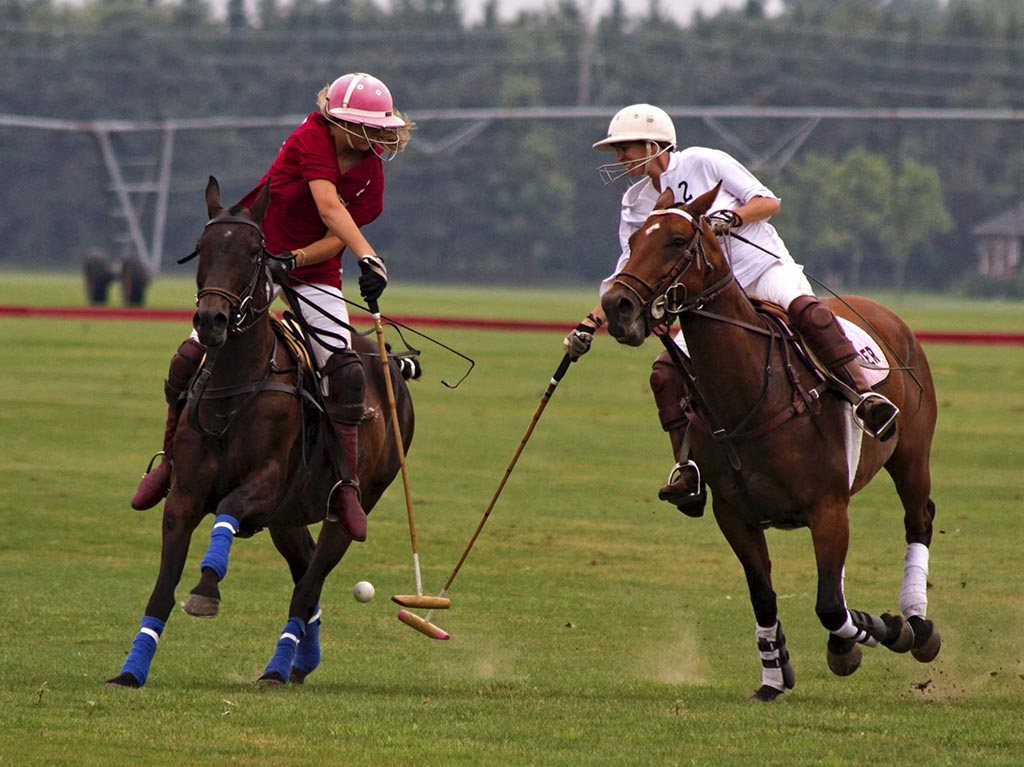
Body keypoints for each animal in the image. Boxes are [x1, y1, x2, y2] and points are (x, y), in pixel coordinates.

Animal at [105, 179, 413, 688]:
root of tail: (390, 362)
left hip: (352, 505)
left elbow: (229, 509)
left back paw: (276, 668)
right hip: (288, 518)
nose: (211, 320)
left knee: (309, 584)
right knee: (305, 574)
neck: (234, 386)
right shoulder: (184, 494)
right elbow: (161, 589)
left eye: (254, 253)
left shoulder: (265, 484)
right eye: (202, 247)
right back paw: (299, 663)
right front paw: (131, 671)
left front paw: (206, 589)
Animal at [598, 184, 942, 700]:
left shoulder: (826, 507)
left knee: (918, 520)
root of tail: (885, 313)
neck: (751, 395)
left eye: (677, 241)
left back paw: (917, 625)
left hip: (911, 455)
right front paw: (774, 676)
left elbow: (829, 606)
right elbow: (766, 595)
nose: (617, 306)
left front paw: (883, 629)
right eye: (635, 239)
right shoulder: (735, 515)